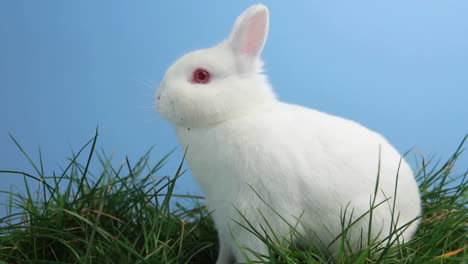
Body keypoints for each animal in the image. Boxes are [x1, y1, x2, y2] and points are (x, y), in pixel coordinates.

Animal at [156, 4, 420, 264]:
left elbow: (252, 253)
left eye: (201, 75)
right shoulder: (222, 215)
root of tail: (413, 217)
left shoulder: (253, 214)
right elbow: (226, 251)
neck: (236, 115)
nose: (158, 99)